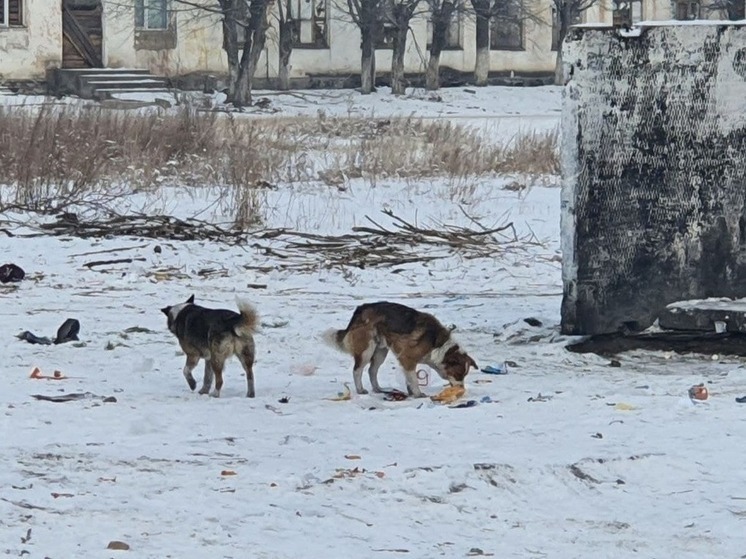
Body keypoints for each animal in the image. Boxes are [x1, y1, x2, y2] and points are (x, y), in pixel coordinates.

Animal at [322, 302, 476, 398]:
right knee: (357, 370)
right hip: (367, 350)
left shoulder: (407, 362)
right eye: (458, 374)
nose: (462, 390)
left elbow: (409, 379)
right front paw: (418, 394)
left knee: (372, 370)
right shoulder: (407, 358)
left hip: (380, 352)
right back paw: (360, 390)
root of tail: (361, 308)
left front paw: (411, 392)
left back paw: (378, 389)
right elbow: (414, 379)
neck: (437, 345)